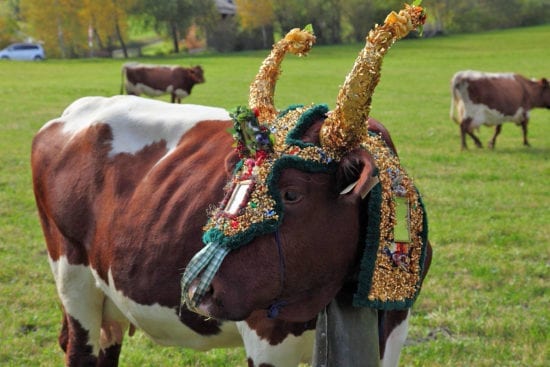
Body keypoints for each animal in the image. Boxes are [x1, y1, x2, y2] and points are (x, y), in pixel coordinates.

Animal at [31, 3, 432, 367]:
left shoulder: (394, 331)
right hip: (73, 278)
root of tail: (74, 112)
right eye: (237, 179)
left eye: (292, 193)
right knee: (79, 347)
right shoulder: (268, 341)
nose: (197, 288)